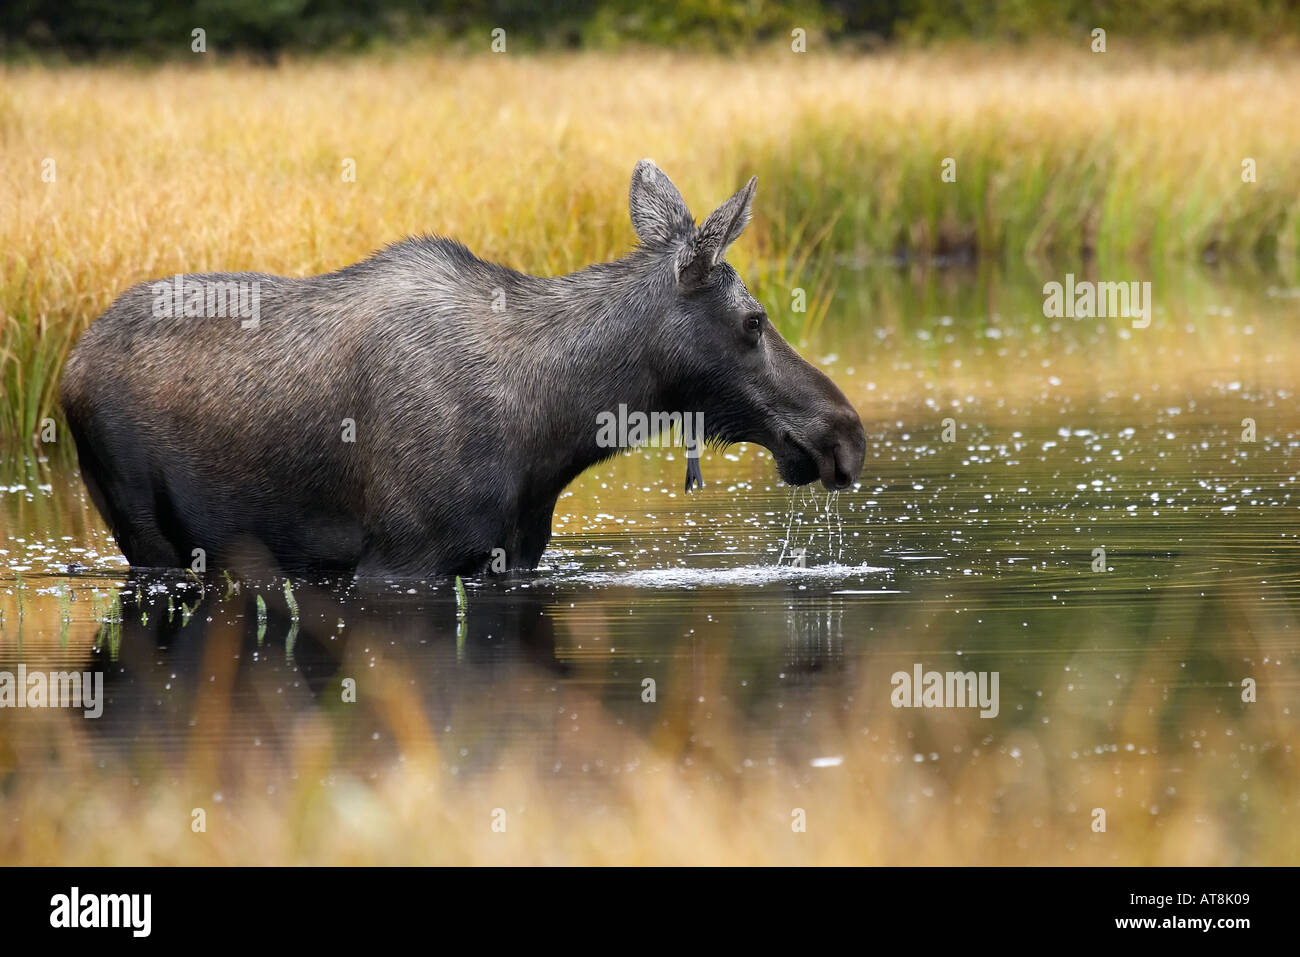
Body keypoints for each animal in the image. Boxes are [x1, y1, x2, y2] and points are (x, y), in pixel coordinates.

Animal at [63, 161, 873, 574]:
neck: (554, 432)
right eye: (755, 321)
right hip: (141, 525)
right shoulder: (404, 560)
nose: (846, 433)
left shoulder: (516, 555)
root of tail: (68, 363)